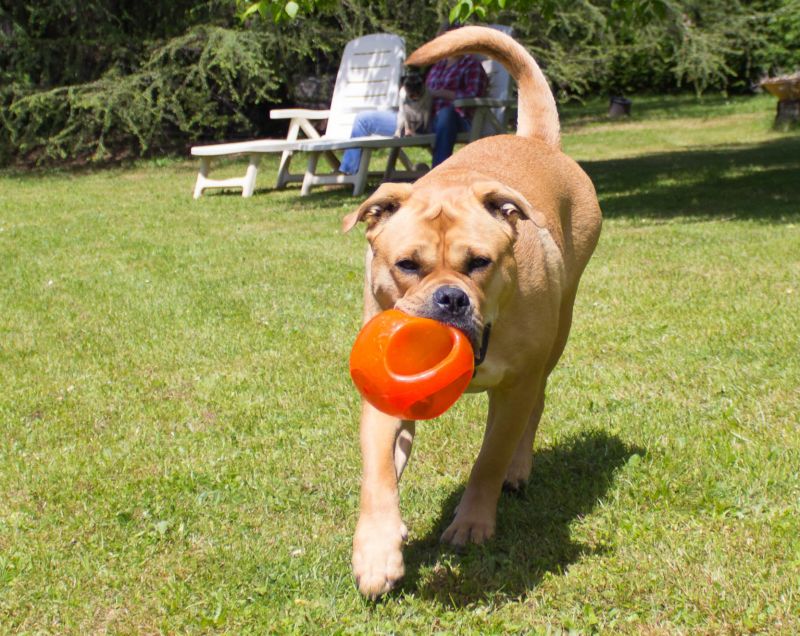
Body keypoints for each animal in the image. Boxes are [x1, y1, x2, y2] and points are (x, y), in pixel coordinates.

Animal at [342, 26, 600, 600]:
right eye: (407, 264)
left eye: (479, 262)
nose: (450, 298)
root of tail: (536, 141)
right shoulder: (380, 398)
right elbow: (378, 473)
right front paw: (377, 551)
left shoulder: (514, 386)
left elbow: (489, 458)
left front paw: (472, 523)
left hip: (558, 332)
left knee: (535, 407)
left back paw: (519, 470)